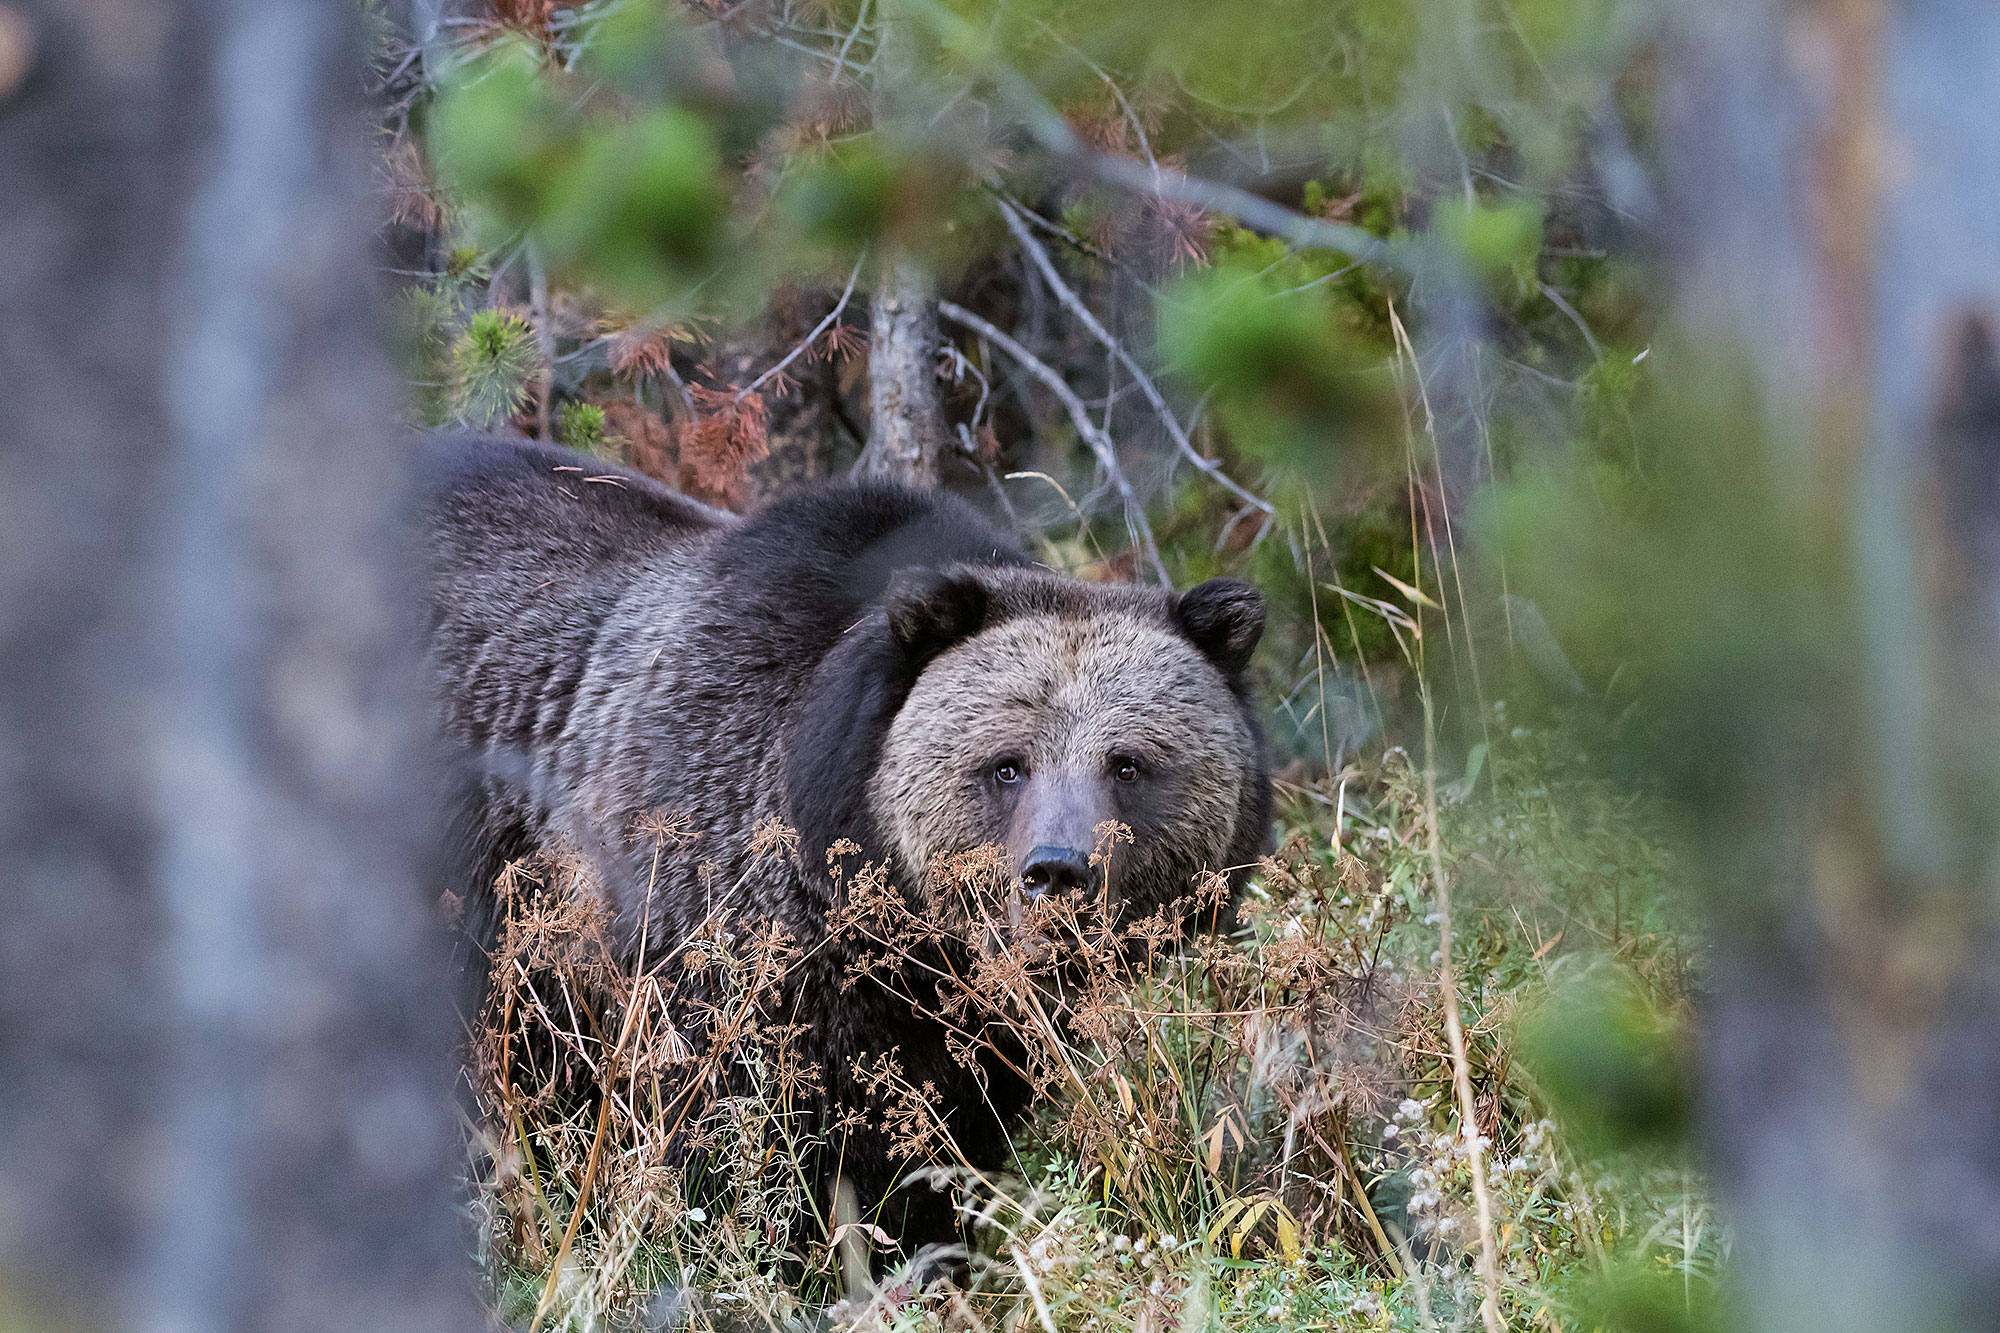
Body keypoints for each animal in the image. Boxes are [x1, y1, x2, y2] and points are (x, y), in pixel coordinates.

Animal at [419, 433, 1271, 1269]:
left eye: (1127, 764)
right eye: (1007, 764)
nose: (1058, 872)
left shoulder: (965, 1039)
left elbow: (937, 1152)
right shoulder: (716, 947)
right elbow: (733, 1145)